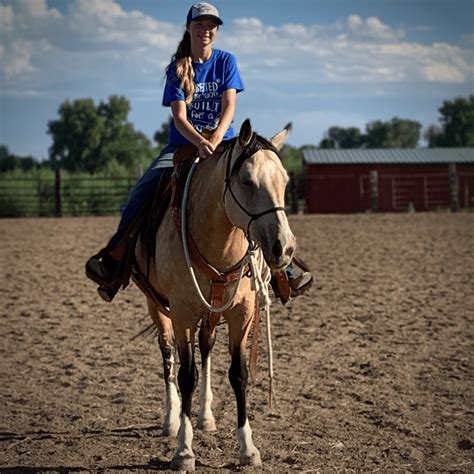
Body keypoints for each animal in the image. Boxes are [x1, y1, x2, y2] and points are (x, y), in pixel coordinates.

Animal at [133, 119, 294, 470]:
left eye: (285, 181)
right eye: (247, 180)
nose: (284, 248)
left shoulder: (241, 313)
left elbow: (238, 375)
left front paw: (248, 448)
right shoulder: (181, 313)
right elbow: (186, 375)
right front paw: (184, 450)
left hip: (210, 313)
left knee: (206, 349)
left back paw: (205, 416)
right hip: (157, 307)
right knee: (167, 356)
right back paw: (170, 419)